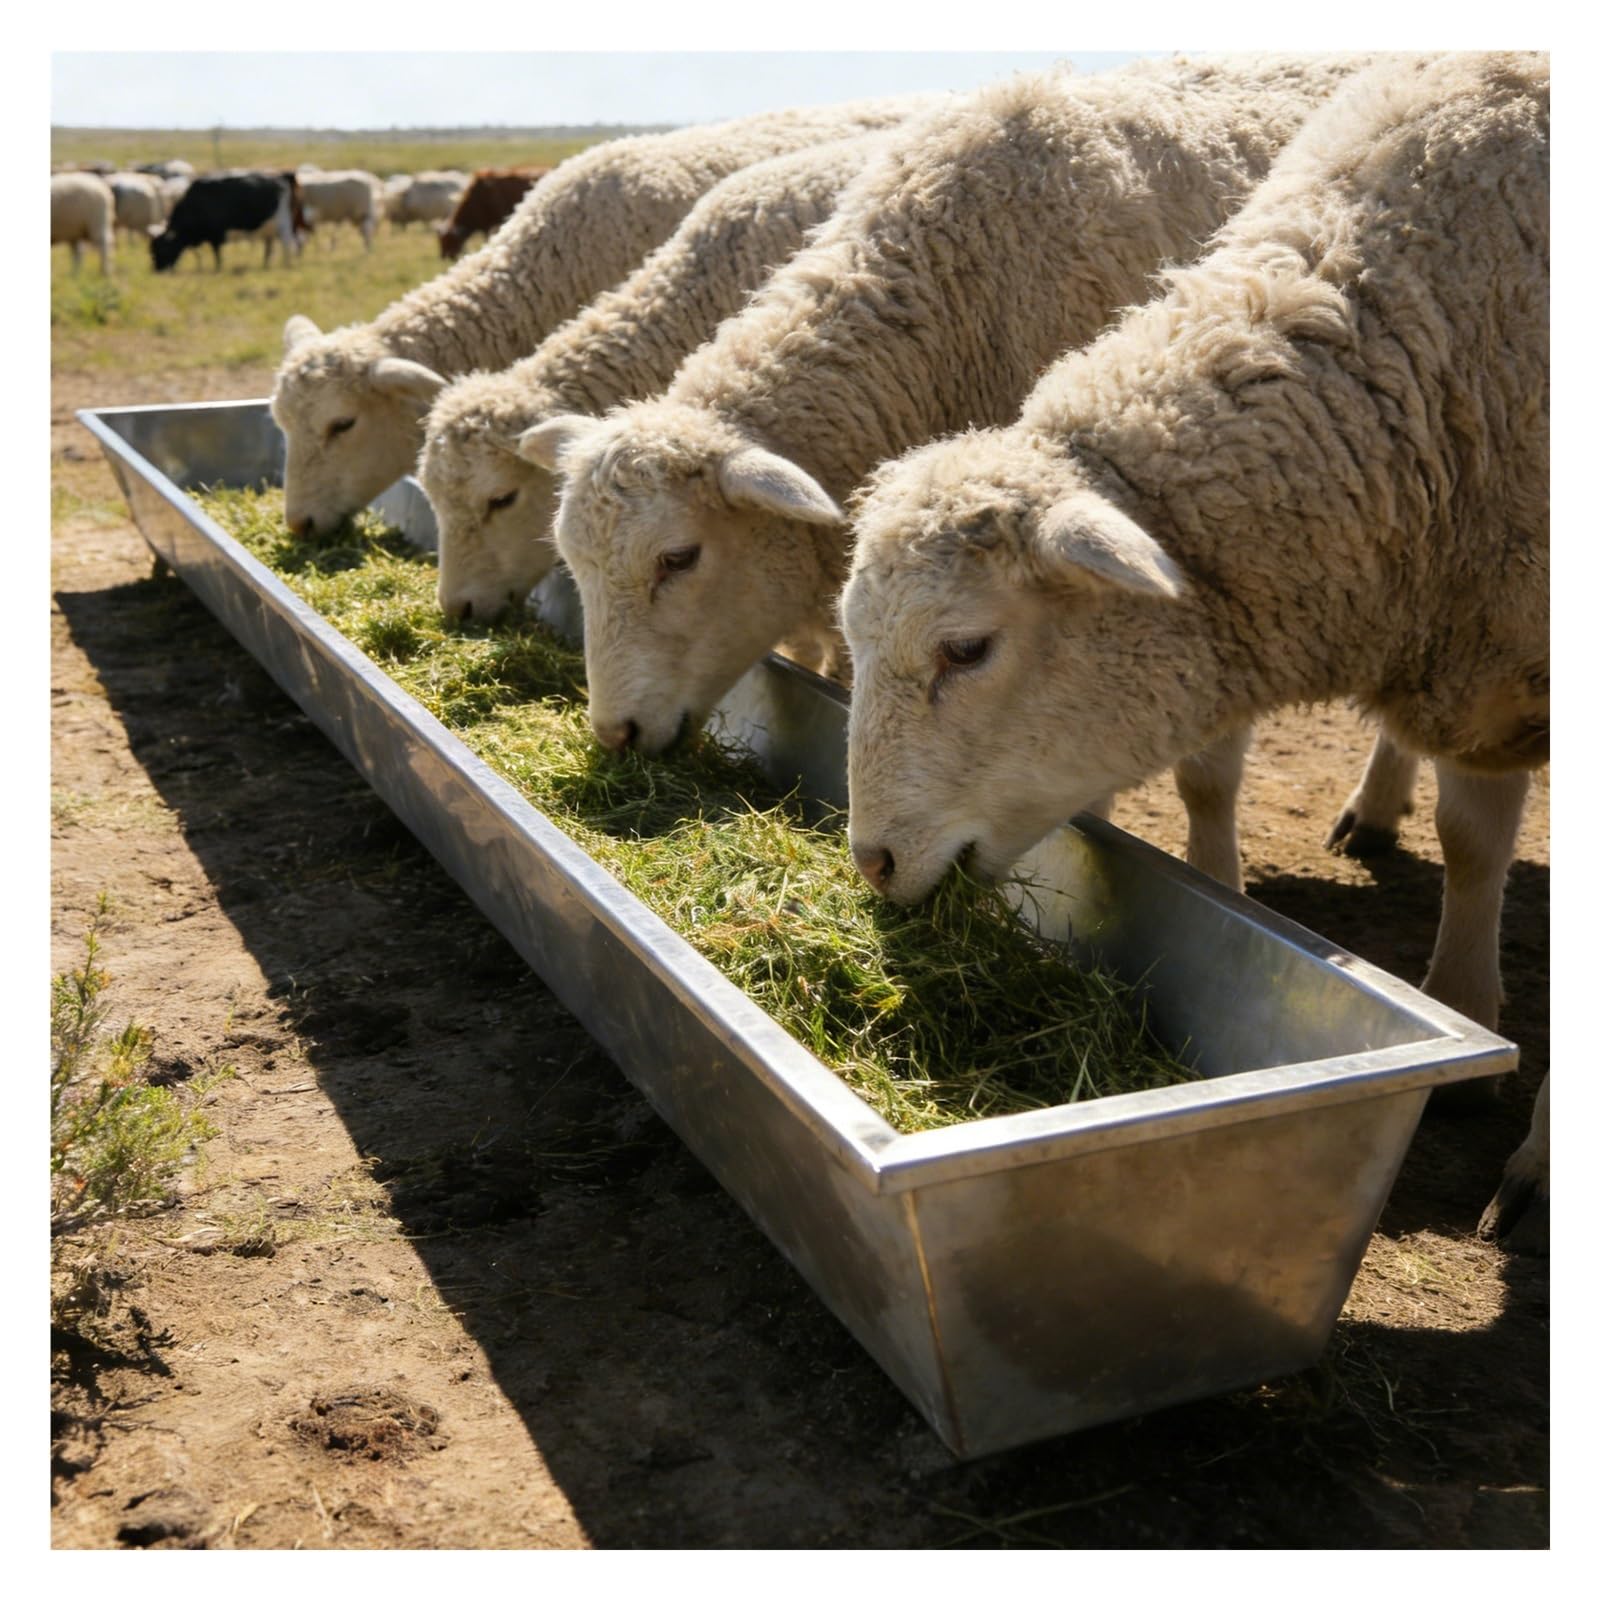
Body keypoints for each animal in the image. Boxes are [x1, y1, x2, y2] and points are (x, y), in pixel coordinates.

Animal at [836, 53, 1548, 1247]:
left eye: (966, 649)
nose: (872, 863)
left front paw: (1534, 1158)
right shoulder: (1482, 652)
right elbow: (1468, 839)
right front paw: (1466, 1011)